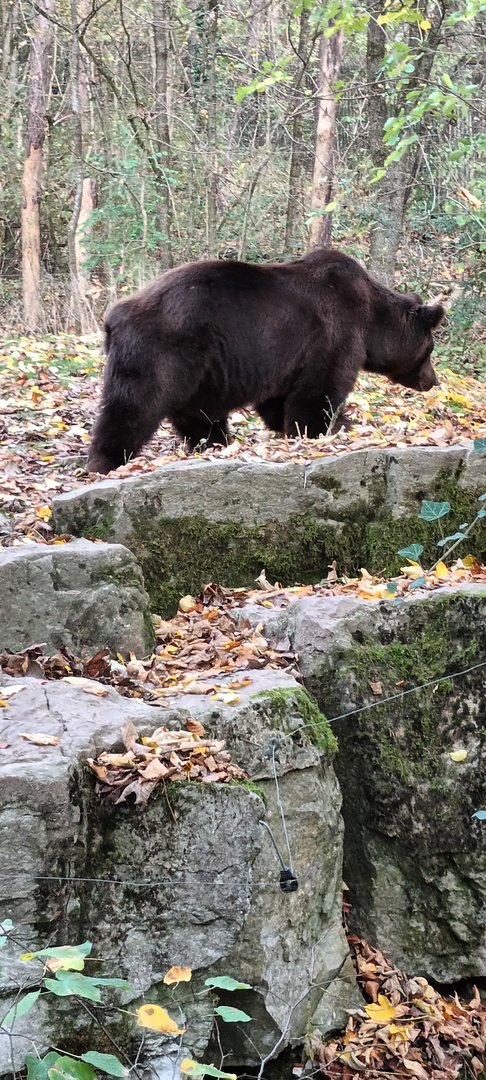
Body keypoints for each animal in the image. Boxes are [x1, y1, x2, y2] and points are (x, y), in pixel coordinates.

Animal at [87, 249, 444, 474]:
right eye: (429, 349)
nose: (432, 381)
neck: (371, 320)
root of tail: (113, 316)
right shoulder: (335, 334)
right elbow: (320, 390)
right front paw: (334, 424)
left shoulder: (283, 358)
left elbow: (278, 400)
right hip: (162, 352)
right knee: (133, 405)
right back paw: (106, 460)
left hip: (201, 370)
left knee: (199, 415)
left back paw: (215, 443)